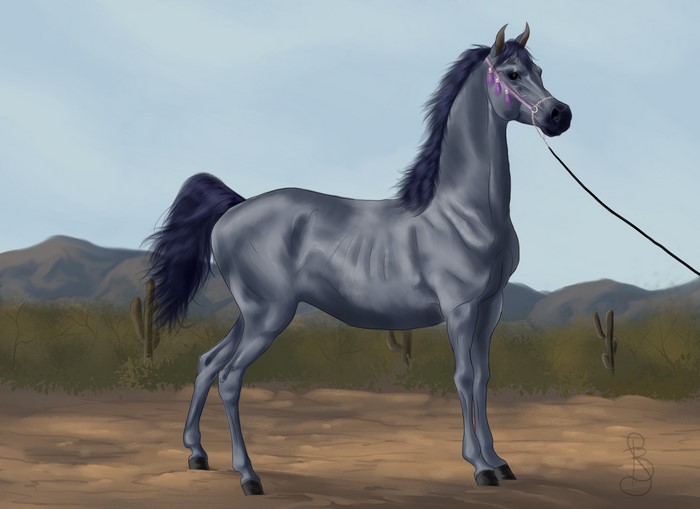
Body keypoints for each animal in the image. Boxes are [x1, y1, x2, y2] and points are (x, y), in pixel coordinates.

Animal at [146, 23, 571, 495]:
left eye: (539, 70)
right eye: (513, 74)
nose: (559, 115)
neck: (464, 213)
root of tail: (234, 208)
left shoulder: (489, 307)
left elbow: (482, 379)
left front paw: (498, 461)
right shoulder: (460, 310)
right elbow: (463, 378)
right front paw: (478, 466)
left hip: (252, 314)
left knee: (208, 363)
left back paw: (197, 455)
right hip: (267, 316)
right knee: (230, 377)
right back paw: (248, 475)